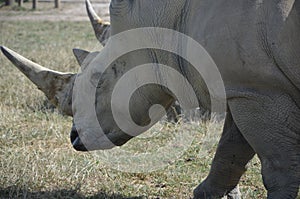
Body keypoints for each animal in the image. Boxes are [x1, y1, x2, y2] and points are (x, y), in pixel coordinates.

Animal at [1, 0, 298, 199]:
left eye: (99, 81)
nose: (74, 138)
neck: (165, 26)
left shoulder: (260, 88)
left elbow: (278, 168)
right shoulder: (245, 86)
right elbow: (232, 147)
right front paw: (209, 193)